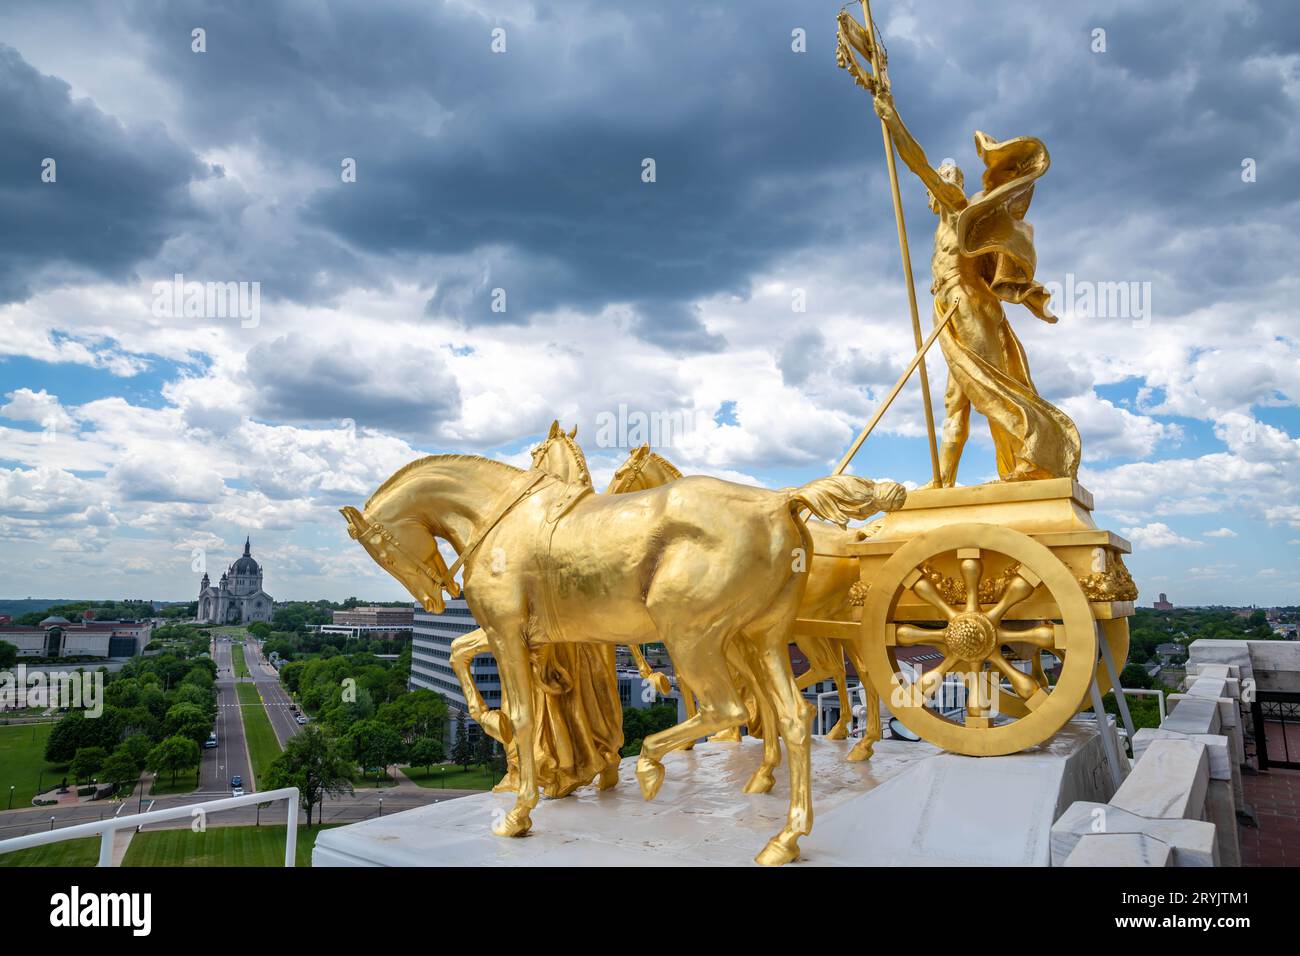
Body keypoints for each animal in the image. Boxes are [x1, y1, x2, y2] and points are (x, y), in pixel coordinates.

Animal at [345, 452, 904, 863]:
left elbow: (523, 715)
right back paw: (784, 837)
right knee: (794, 714)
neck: (499, 518)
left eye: (382, 550)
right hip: (761, 638)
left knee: (732, 708)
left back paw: (655, 765)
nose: (436, 598)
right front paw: (489, 721)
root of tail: (779, 501)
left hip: (691, 634)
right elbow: (459, 653)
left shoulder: (506, 635)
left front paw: (519, 810)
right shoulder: (520, 637)